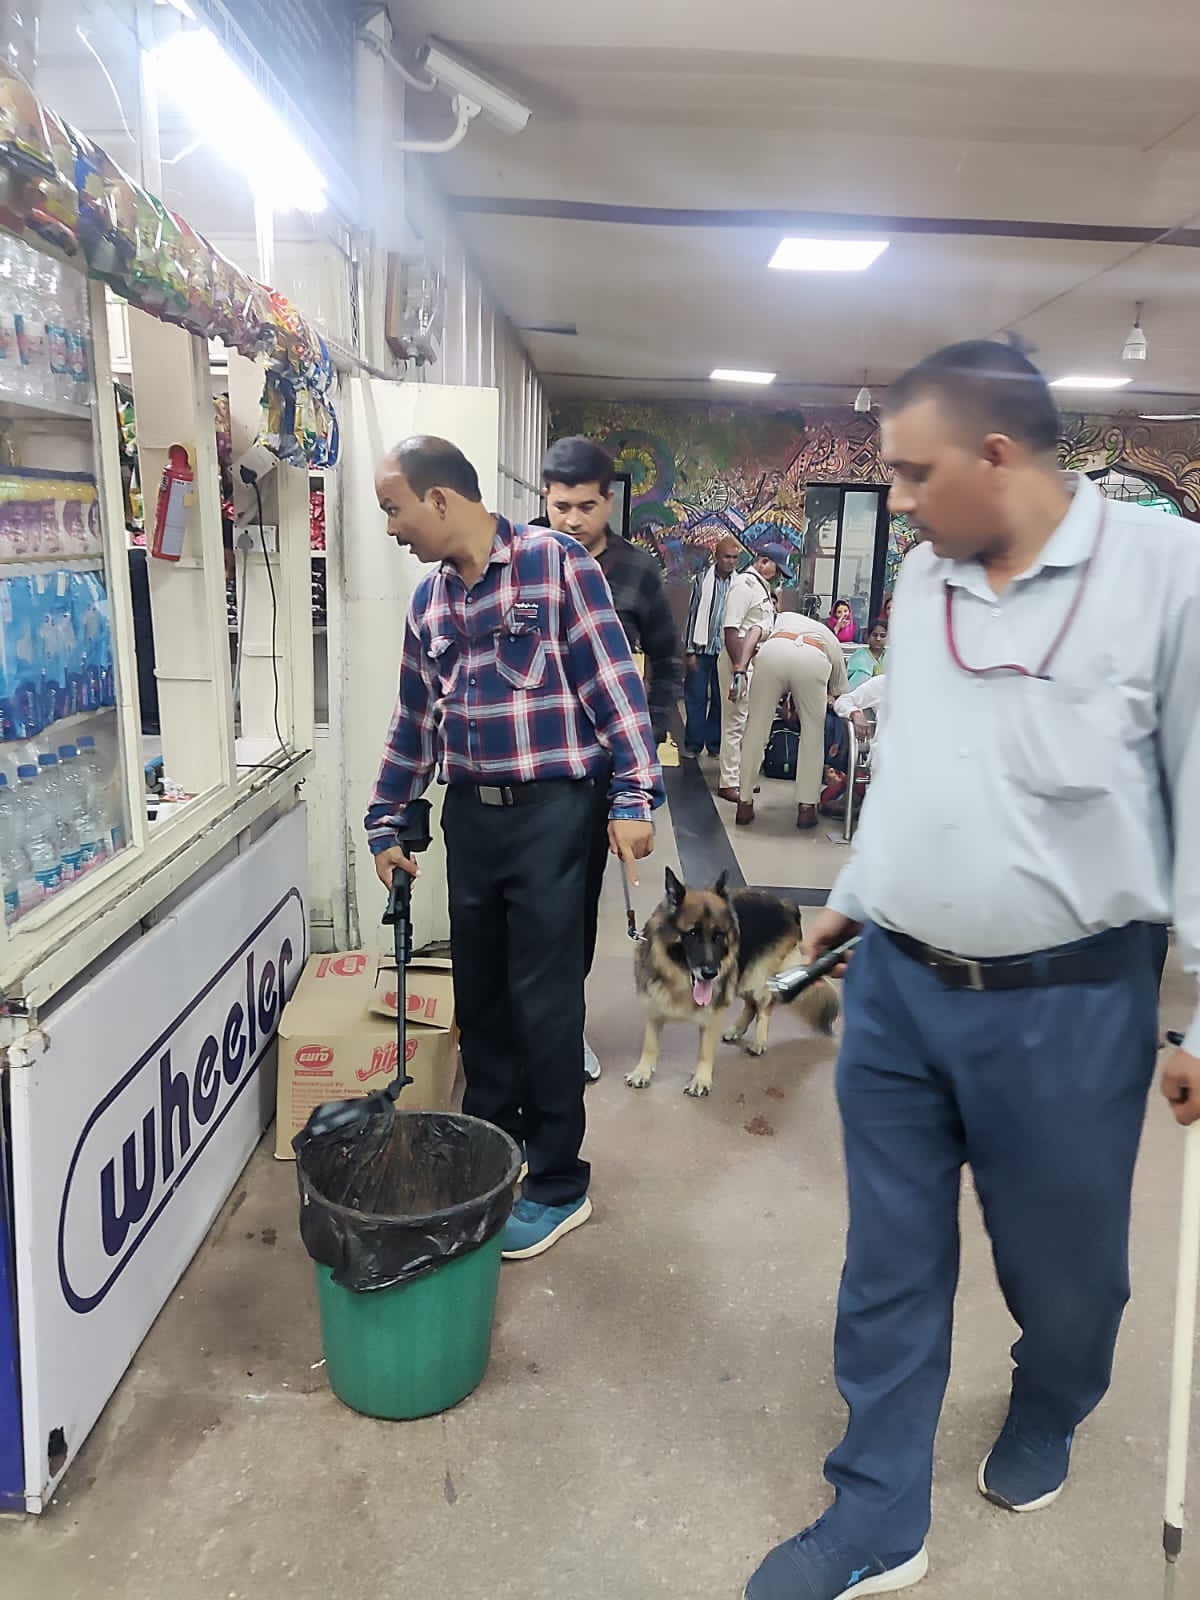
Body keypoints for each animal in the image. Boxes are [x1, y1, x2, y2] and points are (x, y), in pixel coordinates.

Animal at [626, 867, 840, 1098]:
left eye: (719, 936)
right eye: (692, 933)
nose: (710, 973)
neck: (679, 980)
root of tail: (787, 903)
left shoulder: (714, 1013)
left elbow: (705, 1051)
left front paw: (701, 1080)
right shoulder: (654, 1008)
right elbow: (650, 1045)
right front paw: (642, 1071)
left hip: (756, 978)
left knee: (764, 1007)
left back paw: (759, 1041)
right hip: (741, 977)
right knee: (750, 1005)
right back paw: (737, 1029)